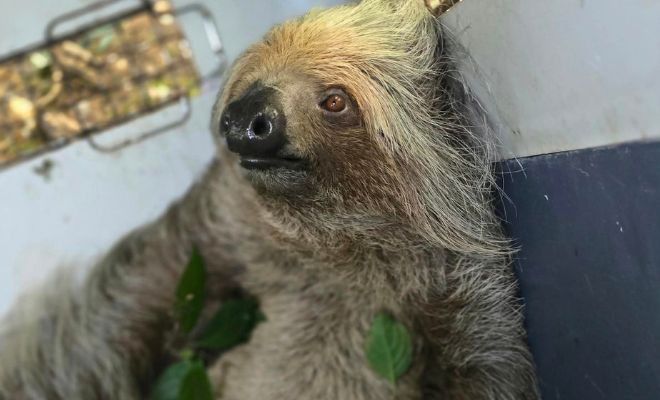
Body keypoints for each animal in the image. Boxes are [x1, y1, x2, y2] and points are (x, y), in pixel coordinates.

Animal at [0, 0, 539, 399]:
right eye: (249, 83)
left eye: (336, 101)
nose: (246, 120)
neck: (337, 250)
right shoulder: (224, 217)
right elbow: (133, 298)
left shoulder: (467, 281)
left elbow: (490, 363)